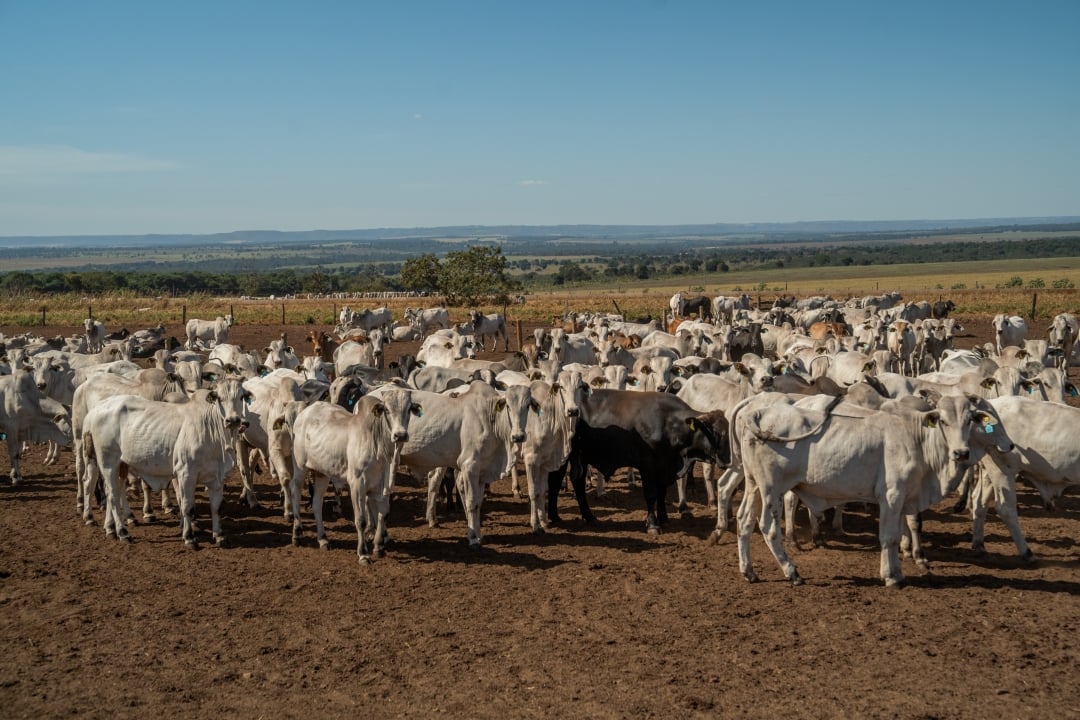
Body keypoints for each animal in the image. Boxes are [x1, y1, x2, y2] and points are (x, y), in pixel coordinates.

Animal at [288, 387, 421, 562]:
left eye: (409, 409)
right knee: (295, 492)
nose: (400, 435)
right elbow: (361, 521)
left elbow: (383, 515)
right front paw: (363, 553)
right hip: (300, 467)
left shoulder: (384, 486)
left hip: (322, 473)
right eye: (386, 409)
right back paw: (297, 534)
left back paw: (323, 539)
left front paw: (379, 547)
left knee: (317, 503)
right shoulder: (357, 484)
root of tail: (305, 412)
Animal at [733, 393, 1011, 587]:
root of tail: (757, 412)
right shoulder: (891, 495)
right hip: (771, 489)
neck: (918, 440)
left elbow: (898, 535)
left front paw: (899, 571)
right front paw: (891, 577)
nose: (961, 453)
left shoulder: (904, 498)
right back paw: (791, 572)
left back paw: (749, 571)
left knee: (744, 520)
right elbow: (888, 537)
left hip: (753, 485)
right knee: (767, 527)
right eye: (943, 420)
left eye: (970, 420)